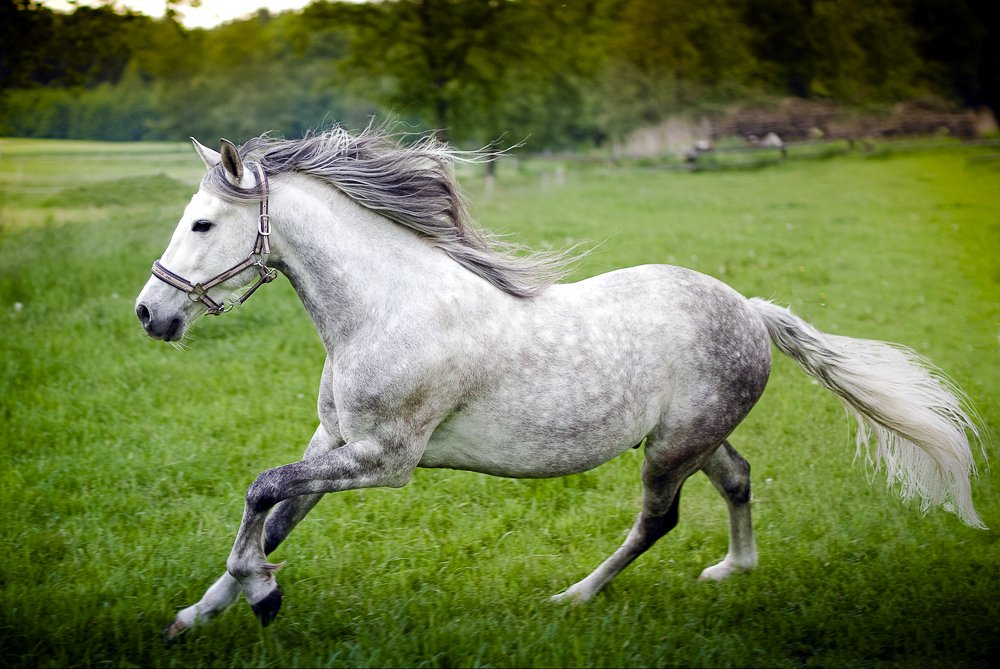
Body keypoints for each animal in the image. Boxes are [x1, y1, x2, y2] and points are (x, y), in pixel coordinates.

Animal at [133, 122, 984, 640]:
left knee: (658, 520)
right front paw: (196, 614)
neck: (387, 309)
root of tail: (750, 307)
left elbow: (262, 489)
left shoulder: (385, 460)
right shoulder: (333, 441)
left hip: (669, 450)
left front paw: (263, 594)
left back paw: (574, 597)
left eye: (203, 223)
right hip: (693, 436)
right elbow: (274, 512)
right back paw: (731, 570)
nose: (150, 312)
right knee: (739, 477)